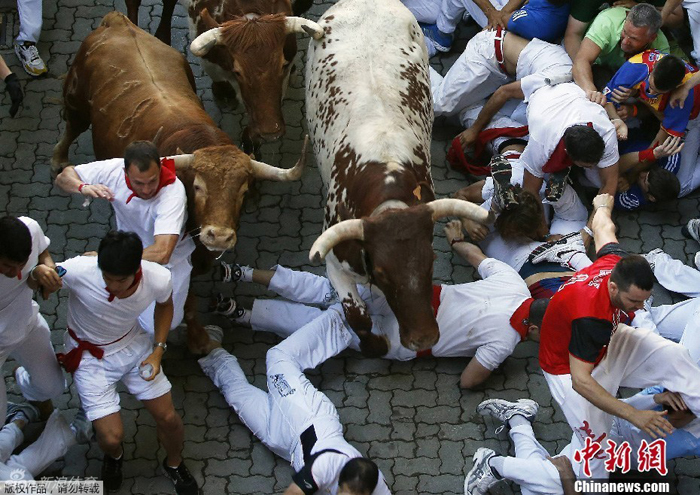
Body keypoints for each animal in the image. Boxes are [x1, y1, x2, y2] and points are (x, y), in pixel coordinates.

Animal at [53, 10, 304, 352]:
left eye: (242, 192)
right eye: (197, 187)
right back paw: (58, 158)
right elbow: (184, 300)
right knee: (71, 126)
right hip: (76, 99)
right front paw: (198, 340)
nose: (219, 236)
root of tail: (117, 21)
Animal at [304, 0, 492, 352]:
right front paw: (376, 344)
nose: (424, 338)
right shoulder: (334, 263)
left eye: (431, 262)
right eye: (382, 271)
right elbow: (357, 316)